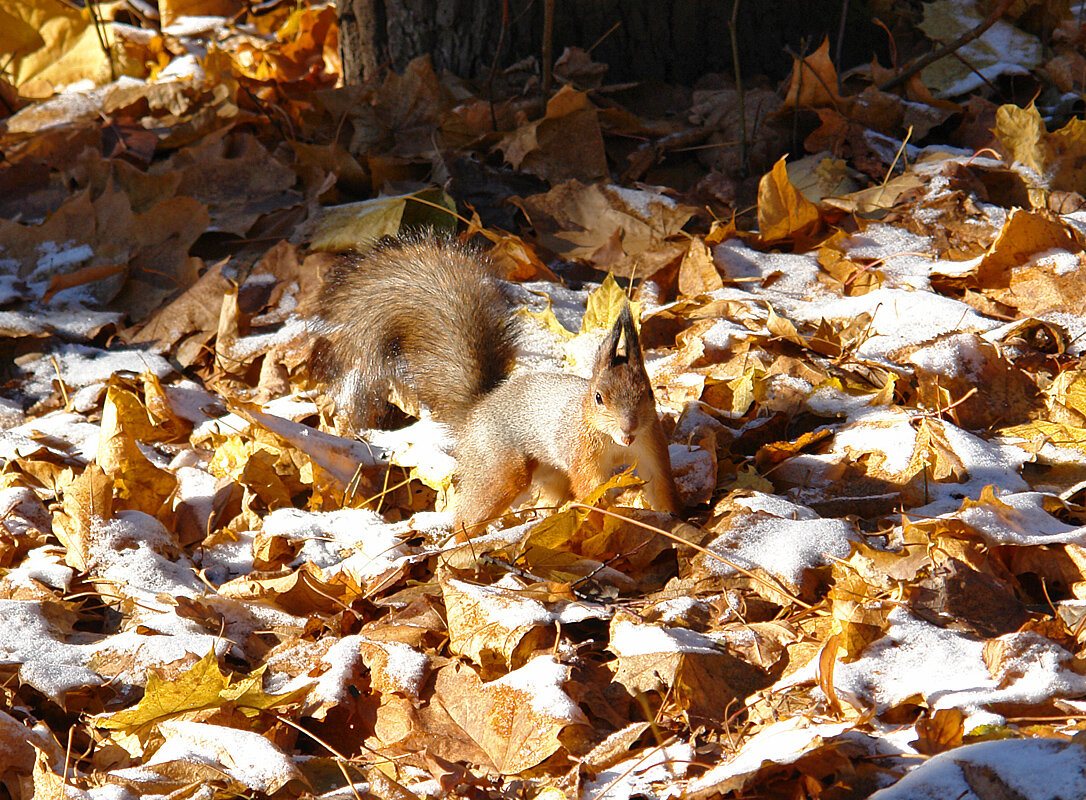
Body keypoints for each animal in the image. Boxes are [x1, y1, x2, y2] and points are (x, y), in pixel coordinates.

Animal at [308, 234, 677, 534]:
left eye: (649, 392)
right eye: (599, 397)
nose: (628, 431)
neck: (614, 443)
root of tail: (477, 410)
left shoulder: (651, 445)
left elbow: (661, 487)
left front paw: (674, 522)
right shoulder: (583, 454)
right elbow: (592, 491)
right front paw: (604, 523)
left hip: (548, 472)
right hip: (499, 468)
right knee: (468, 515)